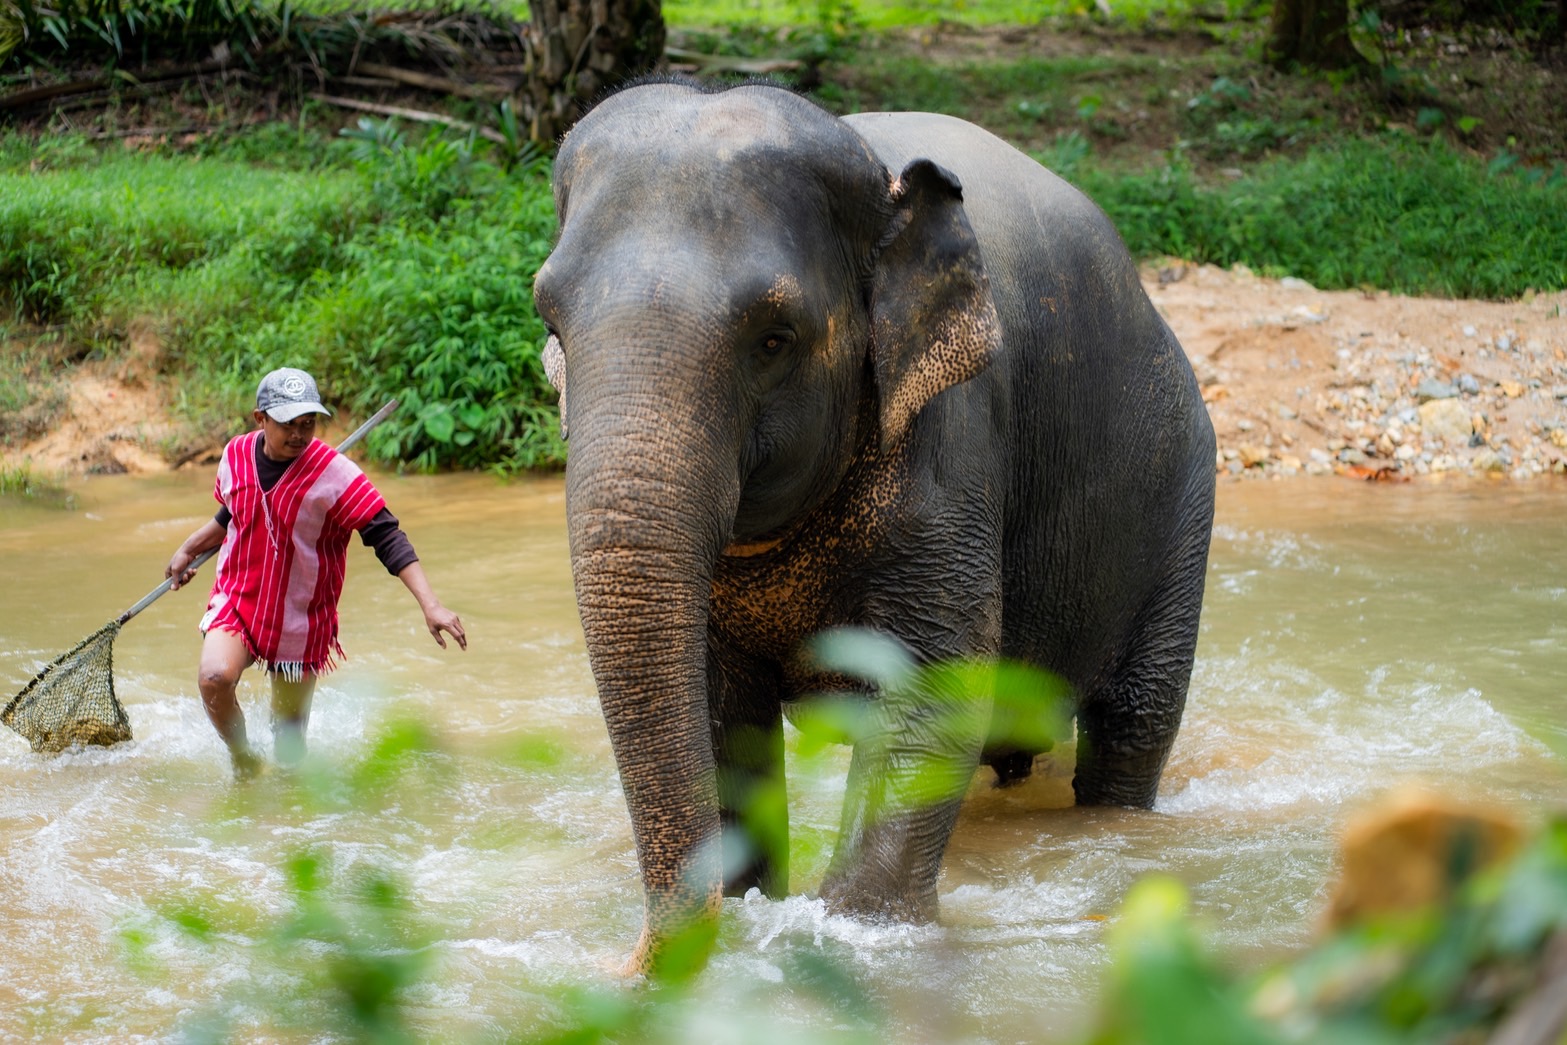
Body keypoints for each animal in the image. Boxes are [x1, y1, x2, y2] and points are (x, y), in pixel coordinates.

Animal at [533, 77, 1216, 976]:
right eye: (550, 320)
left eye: (773, 338)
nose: (628, 968)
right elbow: (718, 709)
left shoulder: (953, 437)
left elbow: (936, 679)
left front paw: (860, 933)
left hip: (1182, 493)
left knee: (1134, 721)